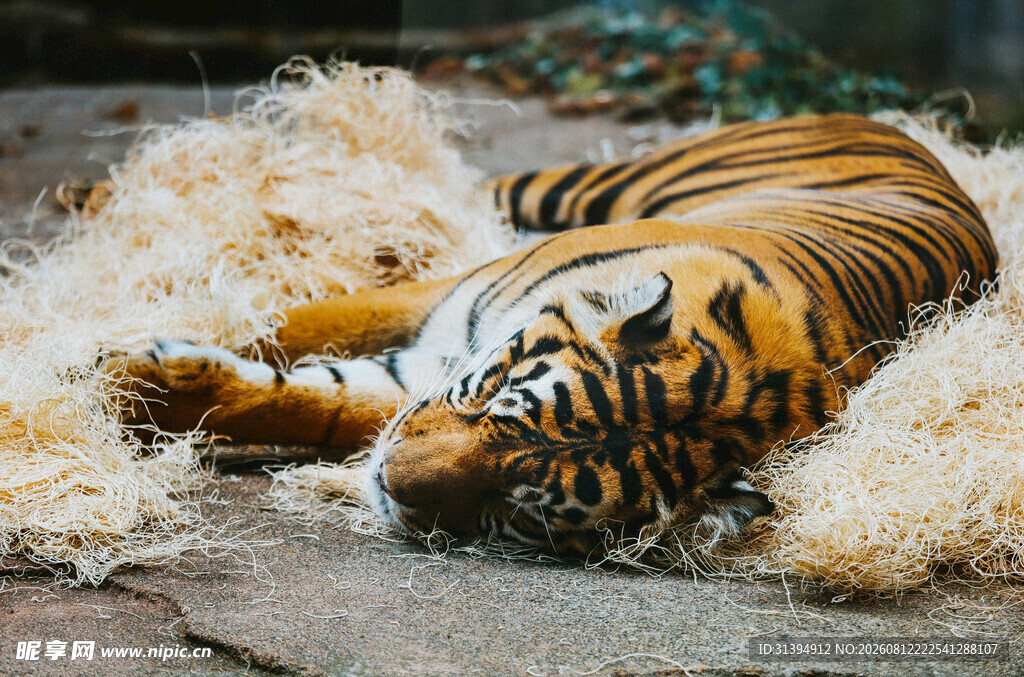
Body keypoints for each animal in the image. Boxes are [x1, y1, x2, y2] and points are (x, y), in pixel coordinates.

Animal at [108, 113, 997, 555]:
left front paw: (134, 382)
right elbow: (310, 320)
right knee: (483, 186)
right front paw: (110, 360)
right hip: (592, 184)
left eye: (520, 510)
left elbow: (314, 402)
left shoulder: (417, 378)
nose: (388, 484)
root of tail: (908, 133)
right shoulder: (446, 308)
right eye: (495, 397)